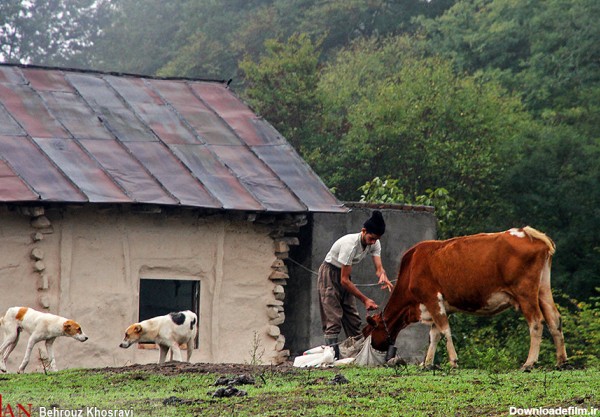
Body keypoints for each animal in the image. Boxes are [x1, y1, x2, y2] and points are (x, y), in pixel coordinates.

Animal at [360, 226, 568, 368]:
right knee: (554, 319)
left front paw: (453, 360)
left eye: (370, 330)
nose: (374, 347)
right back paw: (561, 361)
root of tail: (527, 232)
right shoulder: (437, 305)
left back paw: (529, 363)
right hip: (543, 289)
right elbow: (434, 335)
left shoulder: (432, 299)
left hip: (525, 293)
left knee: (536, 322)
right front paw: (426, 363)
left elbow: (444, 331)